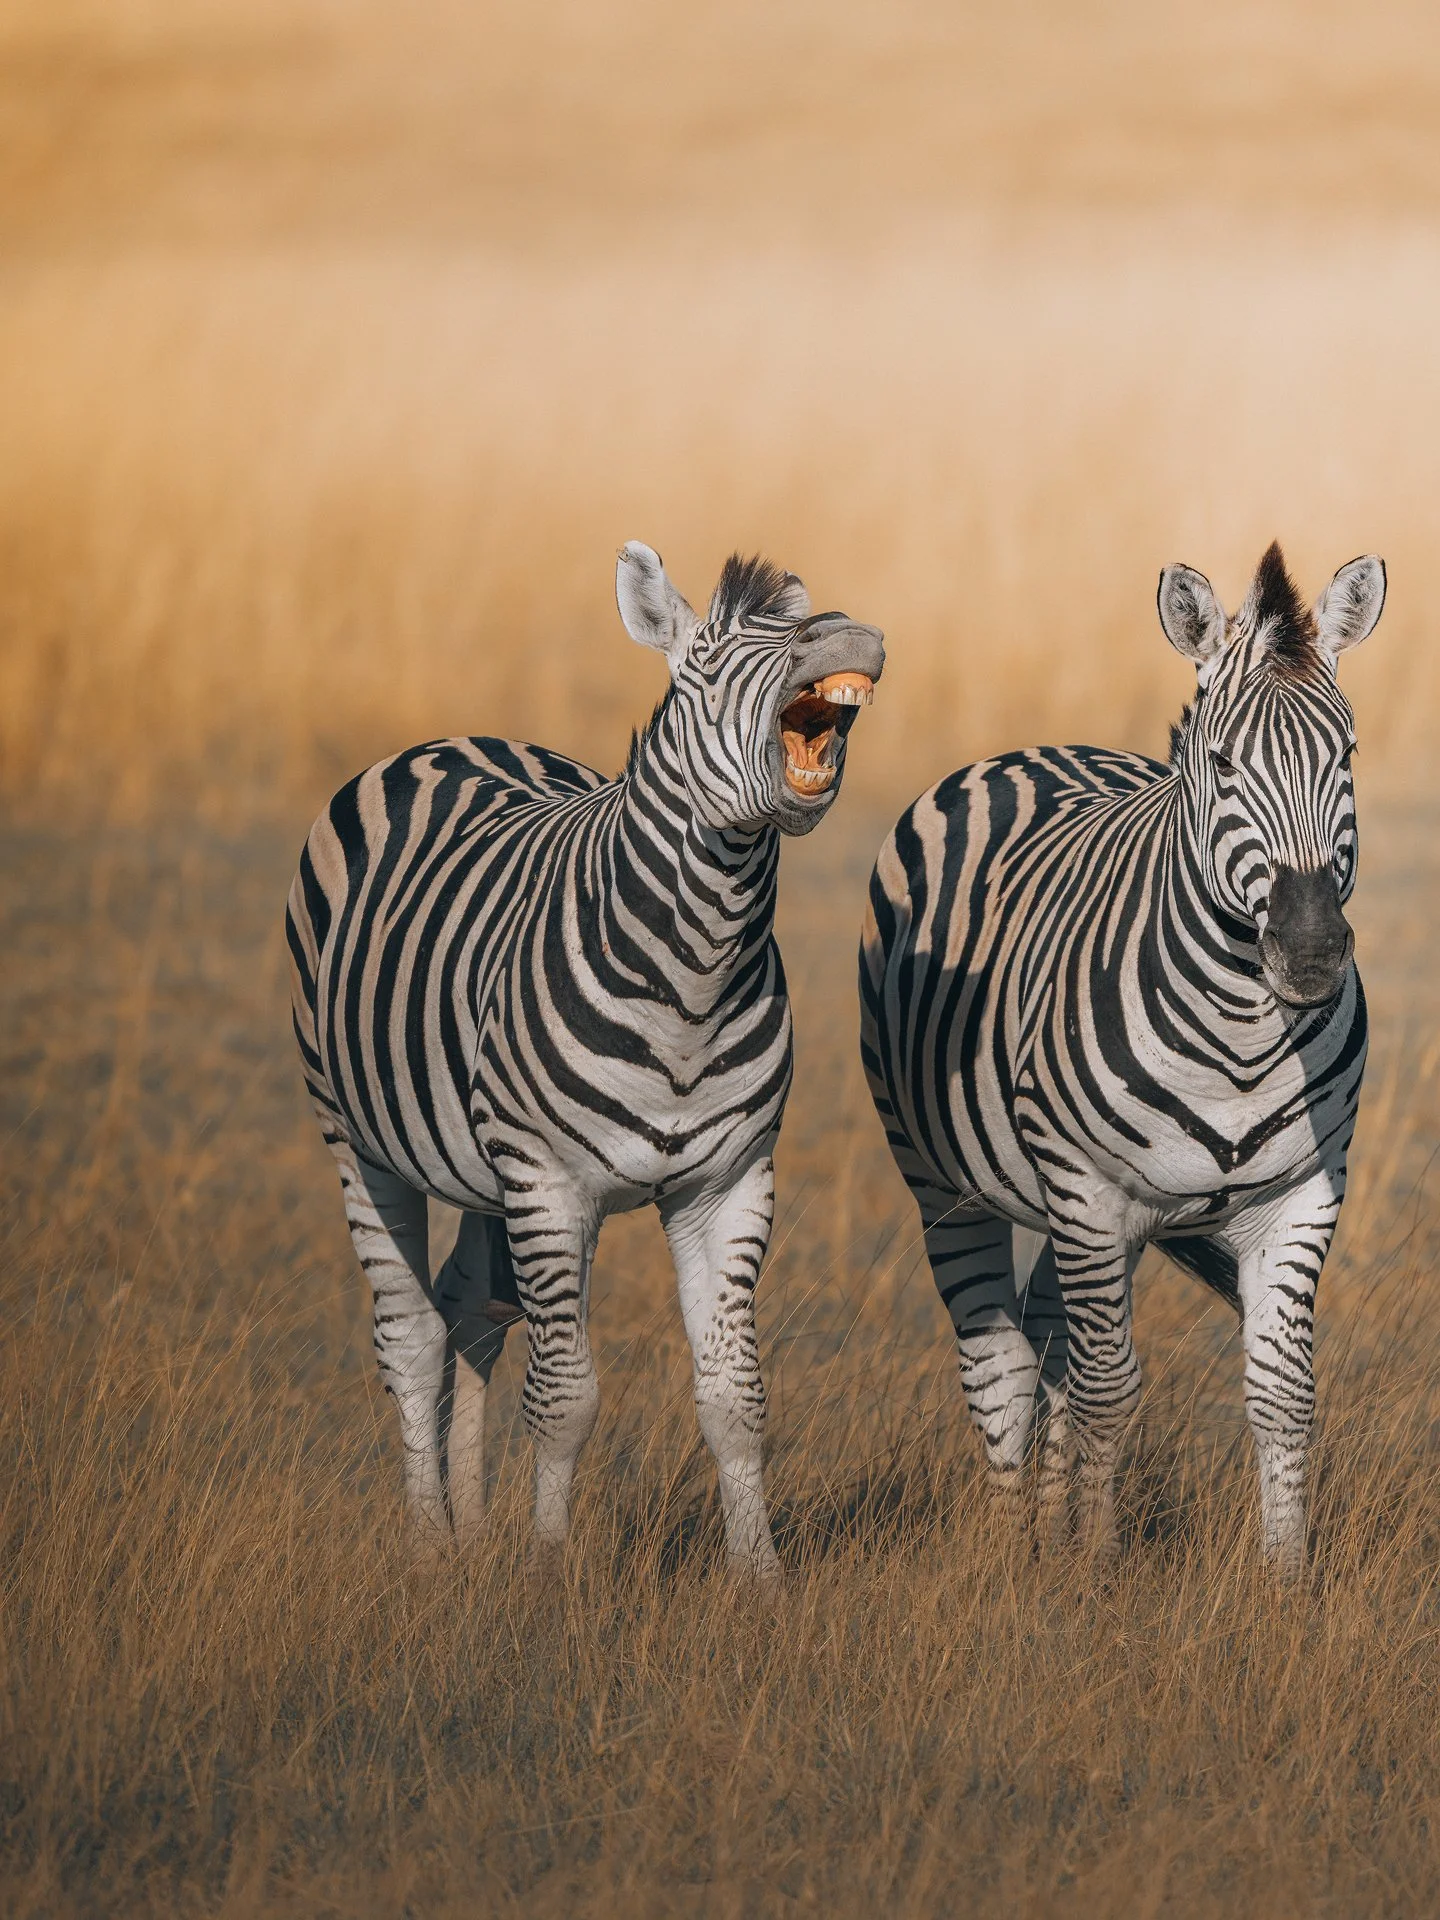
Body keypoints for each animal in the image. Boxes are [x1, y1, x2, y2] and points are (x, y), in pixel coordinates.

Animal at [287, 542, 883, 1574]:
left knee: (471, 1308)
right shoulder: (550, 1181)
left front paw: (760, 1578)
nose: (846, 630)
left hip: (483, 1169)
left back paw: (470, 1525)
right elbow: (565, 1398)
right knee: (410, 1334)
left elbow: (736, 1398)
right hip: (357, 1137)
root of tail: (455, 739)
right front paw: (550, 1569)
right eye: (709, 657)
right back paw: (430, 1544)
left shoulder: (729, 1182)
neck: (695, 975)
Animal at [860, 543, 1385, 1574]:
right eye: (1222, 765)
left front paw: (1286, 1582)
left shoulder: (1301, 1195)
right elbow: (1109, 1393)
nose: (1309, 953)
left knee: (1049, 1339)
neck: (1243, 1036)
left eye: (1345, 756)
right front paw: (1094, 1576)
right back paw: (1011, 1550)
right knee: (1002, 1364)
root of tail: (1037, 749)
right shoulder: (1090, 1191)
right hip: (948, 1179)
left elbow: (1282, 1394)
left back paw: (1045, 1532)